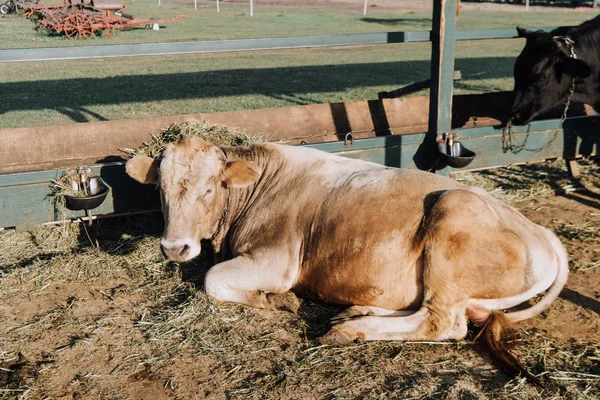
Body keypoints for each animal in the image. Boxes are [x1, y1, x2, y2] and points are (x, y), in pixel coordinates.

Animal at [126, 138, 568, 384]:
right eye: (160, 189)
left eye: (210, 188)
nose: (174, 248)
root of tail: (540, 231)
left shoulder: (277, 260)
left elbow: (213, 278)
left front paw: (276, 300)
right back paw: (354, 313)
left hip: (453, 221)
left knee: (443, 322)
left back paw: (349, 329)